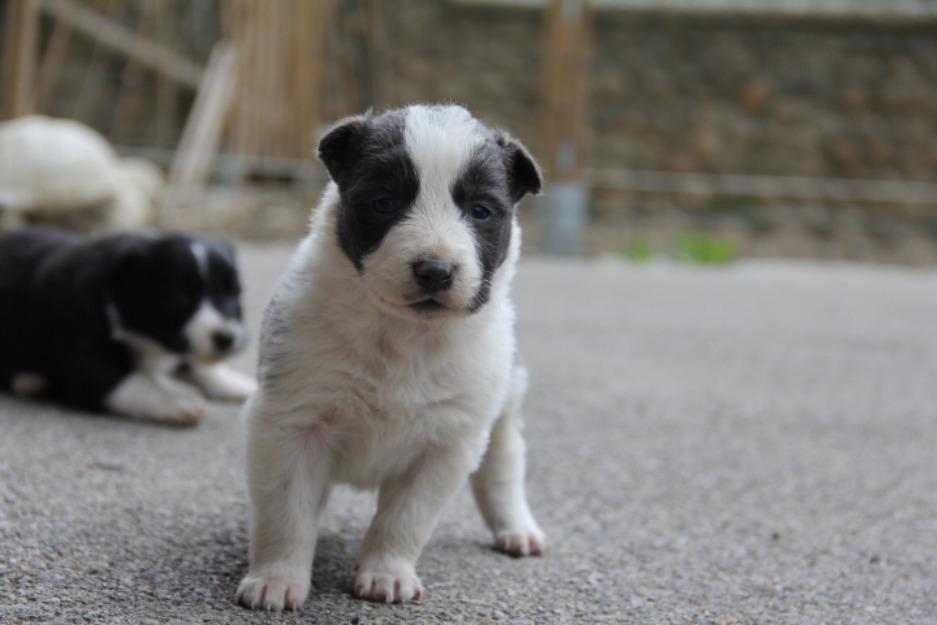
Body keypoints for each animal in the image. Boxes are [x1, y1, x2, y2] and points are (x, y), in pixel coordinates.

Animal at [0, 227, 256, 426]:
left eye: (233, 293)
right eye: (179, 298)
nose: (227, 338)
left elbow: (195, 364)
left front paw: (237, 383)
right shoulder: (84, 360)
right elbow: (134, 382)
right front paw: (176, 400)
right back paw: (29, 381)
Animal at [238, 103, 548, 608]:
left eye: (480, 211)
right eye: (384, 203)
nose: (435, 270)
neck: (405, 336)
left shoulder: (449, 440)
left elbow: (405, 518)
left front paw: (386, 574)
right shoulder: (290, 421)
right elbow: (287, 511)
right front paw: (276, 580)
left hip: (503, 403)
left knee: (503, 464)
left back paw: (517, 528)